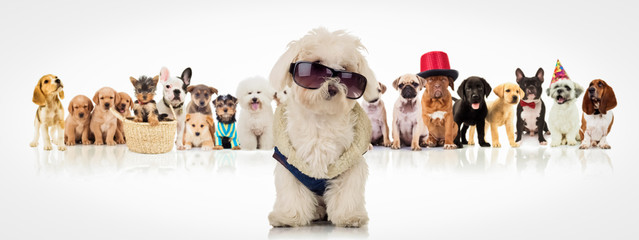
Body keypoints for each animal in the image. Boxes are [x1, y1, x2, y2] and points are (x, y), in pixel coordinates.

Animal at [266, 27, 380, 228]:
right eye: (316, 66)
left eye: (345, 71)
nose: (333, 88)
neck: (320, 121)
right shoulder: (289, 165)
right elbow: (292, 193)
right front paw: (289, 217)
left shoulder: (350, 165)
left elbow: (347, 193)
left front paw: (349, 216)